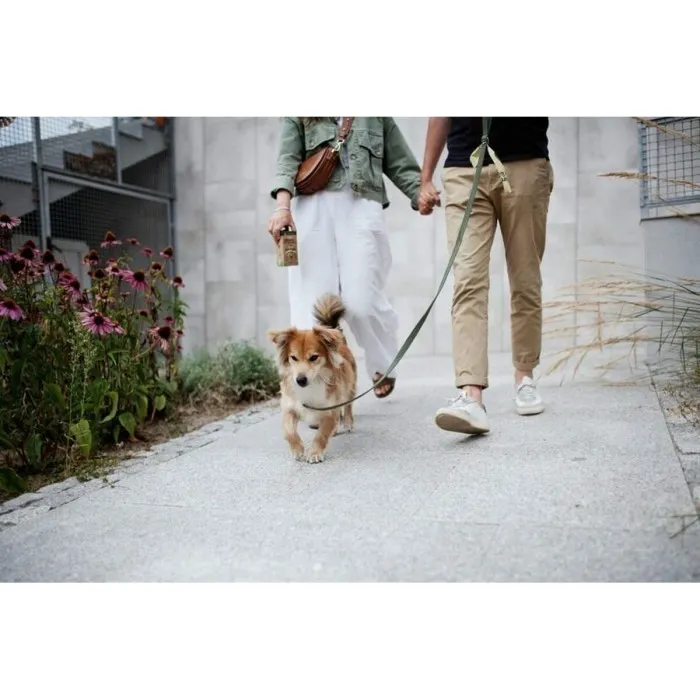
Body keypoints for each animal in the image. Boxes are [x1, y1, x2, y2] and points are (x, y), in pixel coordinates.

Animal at [267, 293, 357, 463]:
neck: (313, 384)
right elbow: (288, 431)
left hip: (350, 387)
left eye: (314, 357)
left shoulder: (329, 410)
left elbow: (321, 435)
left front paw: (315, 452)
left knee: (348, 405)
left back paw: (348, 423)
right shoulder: (290, 407)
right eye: (293, 358)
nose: (300, 380)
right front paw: (297, 449)